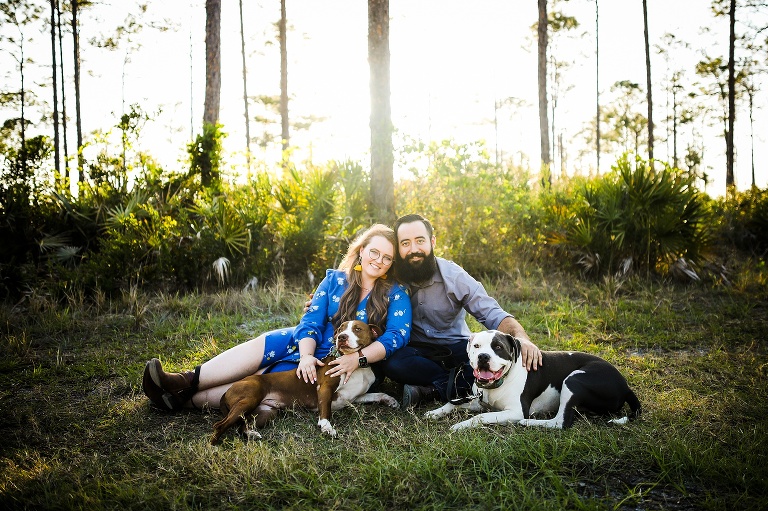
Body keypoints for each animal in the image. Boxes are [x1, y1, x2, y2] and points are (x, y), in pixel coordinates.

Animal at [213, 320, 400, 444]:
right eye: (340, 329)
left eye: (358, 329)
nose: (341, 337)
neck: (356, 367)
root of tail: (228, 390)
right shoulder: (325, 388)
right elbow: (325, 411)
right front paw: (326, 427)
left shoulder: (356, 397)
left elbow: (378, 394)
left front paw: (390, 400)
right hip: (249, 398)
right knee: (220, 425)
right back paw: (214, 444)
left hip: (265, 412)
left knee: (243, 426)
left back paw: (251, 434)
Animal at [424, 330, 640, 430]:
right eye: (476, 346)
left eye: (498, 347)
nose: (483, 357)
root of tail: (626, 386)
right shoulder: (478, 401)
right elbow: (452, 404)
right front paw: (435, 413)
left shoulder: (515, 411)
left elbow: (481, 417)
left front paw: (461, 426)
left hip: (574, 380)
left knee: (561, 422)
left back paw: (529, 423)